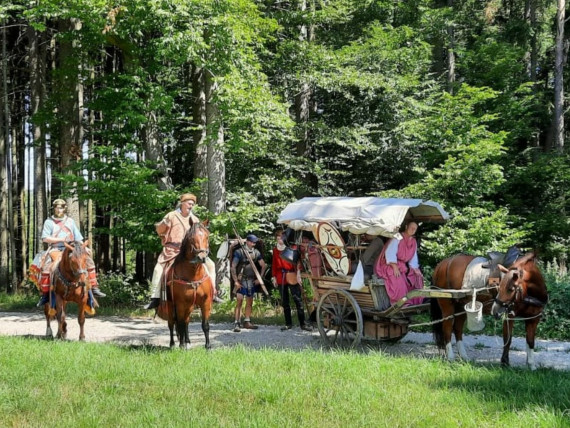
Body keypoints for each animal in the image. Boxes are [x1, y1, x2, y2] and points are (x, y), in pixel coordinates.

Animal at [162, 221, 213, 350]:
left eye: (207, 236)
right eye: (191, 238)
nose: (201, 257)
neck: (193, 275)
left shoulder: (205, 302)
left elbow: (205, 325)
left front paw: (208, 346)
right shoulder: (180, 303)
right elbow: (179, 323)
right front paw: (181, 345)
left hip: (189, 306)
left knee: (186, 322)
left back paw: (187, 341)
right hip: (171, 305)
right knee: (172, 323)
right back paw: (173, 344)